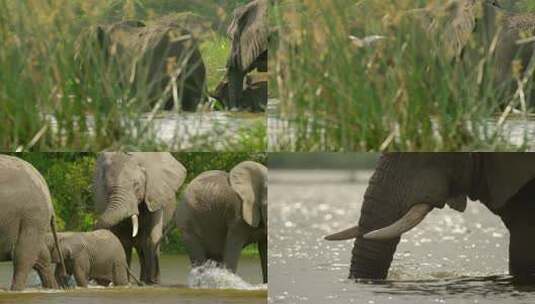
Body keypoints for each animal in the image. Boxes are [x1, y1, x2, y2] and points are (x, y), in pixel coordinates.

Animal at [94, 152, 188, 284]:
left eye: (136, 185)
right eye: (106, 187)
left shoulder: (154, 195)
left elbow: (152, 237)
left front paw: (153, 283)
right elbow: (123, 239)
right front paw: (126, 282)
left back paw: (146, 281)